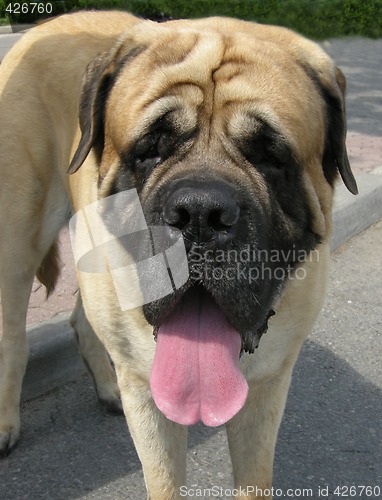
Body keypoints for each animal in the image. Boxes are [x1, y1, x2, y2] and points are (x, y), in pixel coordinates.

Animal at [0, 9, 358, 498]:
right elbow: (165, 481)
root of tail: (44, 26)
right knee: (13, 334)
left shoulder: (269, 385)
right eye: (151, 149)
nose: (201, 215)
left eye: (269, 156)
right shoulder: (151, 402)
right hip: (20, 234)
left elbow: (255, 478)